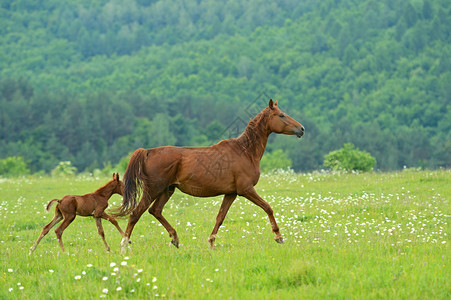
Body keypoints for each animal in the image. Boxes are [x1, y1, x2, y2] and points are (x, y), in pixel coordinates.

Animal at [115, 99, 306, 253]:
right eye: (281, 115)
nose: (302, 129)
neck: (245, 151)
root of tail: (148, 152)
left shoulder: (231, 193)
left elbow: (220, 217)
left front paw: (212, 243)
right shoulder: (246, 190)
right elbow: (268, 207)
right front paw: (278, 237)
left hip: (167, 190)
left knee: (155, 211)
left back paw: (175, 239)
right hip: (153, 190)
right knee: (136, 214)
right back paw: (124, 246)